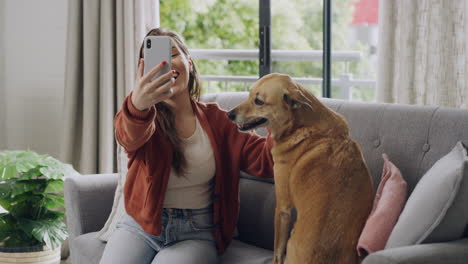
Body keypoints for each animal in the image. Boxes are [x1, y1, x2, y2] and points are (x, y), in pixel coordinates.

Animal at [227, 72, 372, 264]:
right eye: (249, 95)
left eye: (258, 101)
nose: (229, 114)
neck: (302, 126)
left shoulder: (282, 207)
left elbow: (277, 250)